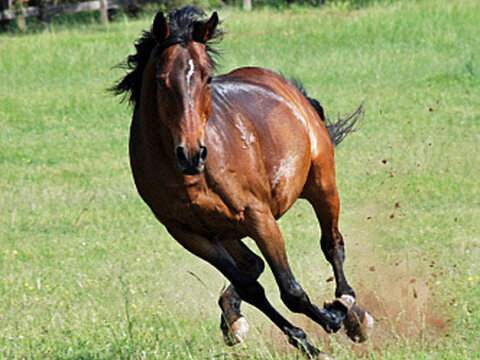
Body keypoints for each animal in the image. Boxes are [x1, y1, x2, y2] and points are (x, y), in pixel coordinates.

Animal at [112, 5, 372, 358]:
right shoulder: (189, 233)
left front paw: (332, 318)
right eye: (161, 80)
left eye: (207, 77)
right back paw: (233, 319)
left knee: (332, 244)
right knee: (252, 266)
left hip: (321, 183)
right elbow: (252, 287)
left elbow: (290, 290)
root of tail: (281, 84)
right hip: (226, 230)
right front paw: (304, 340)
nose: (191, 153)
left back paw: (352, 313)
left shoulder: (258, 216)